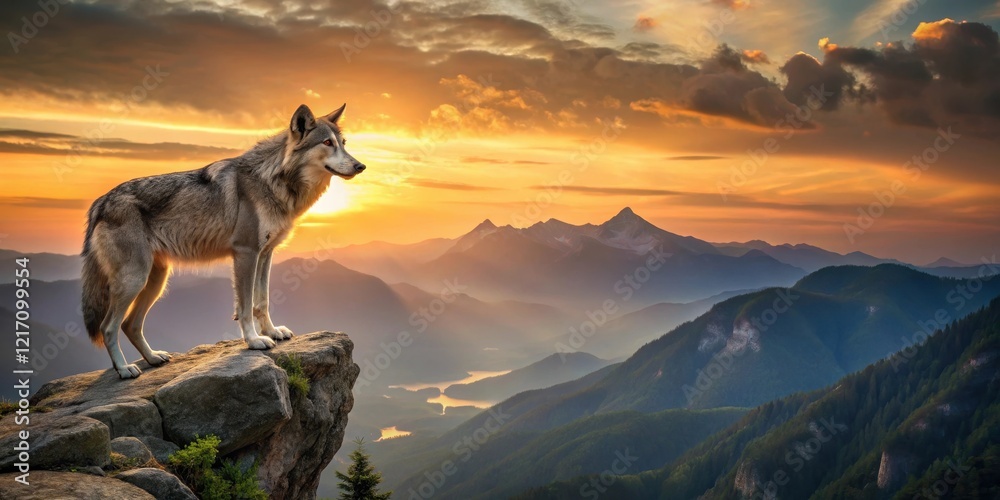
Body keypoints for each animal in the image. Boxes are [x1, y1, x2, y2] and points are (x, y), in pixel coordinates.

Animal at [81, 104, 365, 379]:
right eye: (327, 143)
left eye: (343, 143)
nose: (360, 166)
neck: (273, 179)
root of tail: (100, 202)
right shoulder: (245, 253)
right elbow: (246, 306)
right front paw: (254, 341)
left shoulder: (265, 254)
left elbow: (262, 301)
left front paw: (272, 332)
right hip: (135, 280)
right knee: (108, 327)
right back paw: (124, 369)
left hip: (156, 281)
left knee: (130, 324)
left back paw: (153, 358)